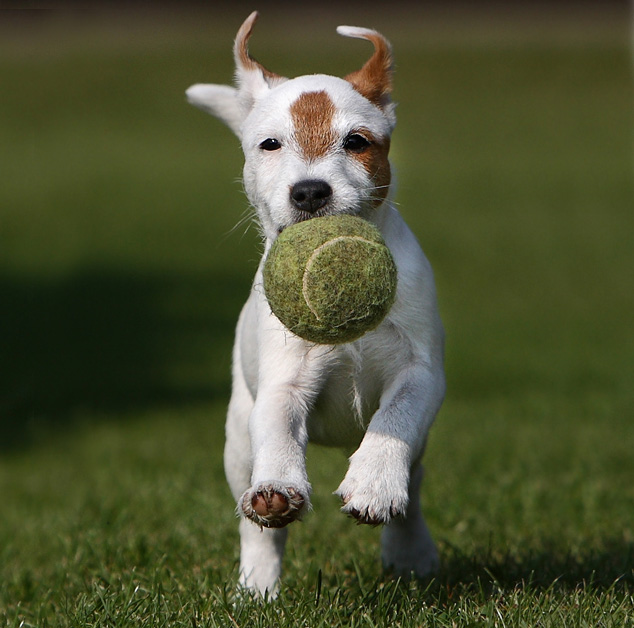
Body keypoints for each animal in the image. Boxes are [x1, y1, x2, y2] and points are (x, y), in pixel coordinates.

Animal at [186, 12, 444, 596]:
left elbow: (396, 415)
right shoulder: (284, 382)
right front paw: (279, 488)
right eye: (269, 144)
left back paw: (410, 550)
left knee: (415, 489)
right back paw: (257, 584)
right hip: (237, 441)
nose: (309, 192)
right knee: (253, 522)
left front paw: (374, 481)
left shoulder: (420, 372)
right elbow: (279, 429)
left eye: (356, 141)